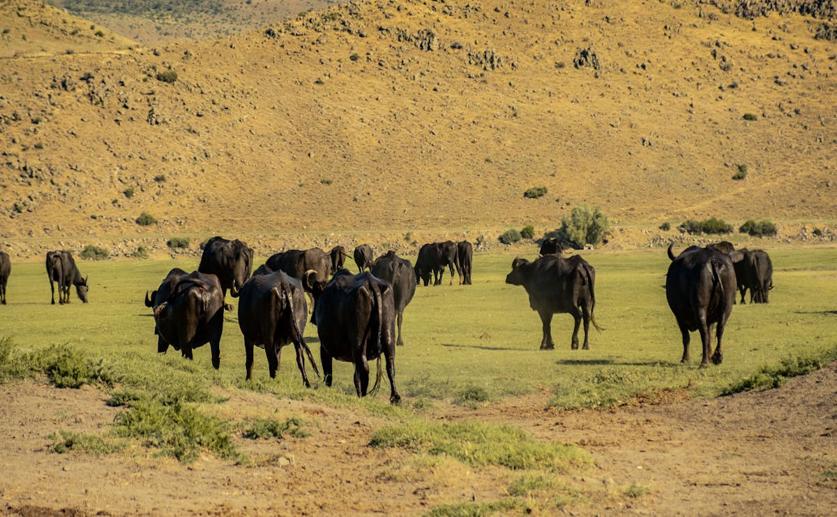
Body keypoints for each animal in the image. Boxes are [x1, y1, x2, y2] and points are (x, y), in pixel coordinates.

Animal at [310, 271, 400, 403]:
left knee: (364, 367)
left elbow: (328, 372)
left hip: (358, 343)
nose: (312, 319)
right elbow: (355, 377)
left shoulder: (324, 347)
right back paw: (395, 397)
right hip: (389, 337)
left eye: (316, 296)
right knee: (390, 365)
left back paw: (363, 395)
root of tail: (371, 282)